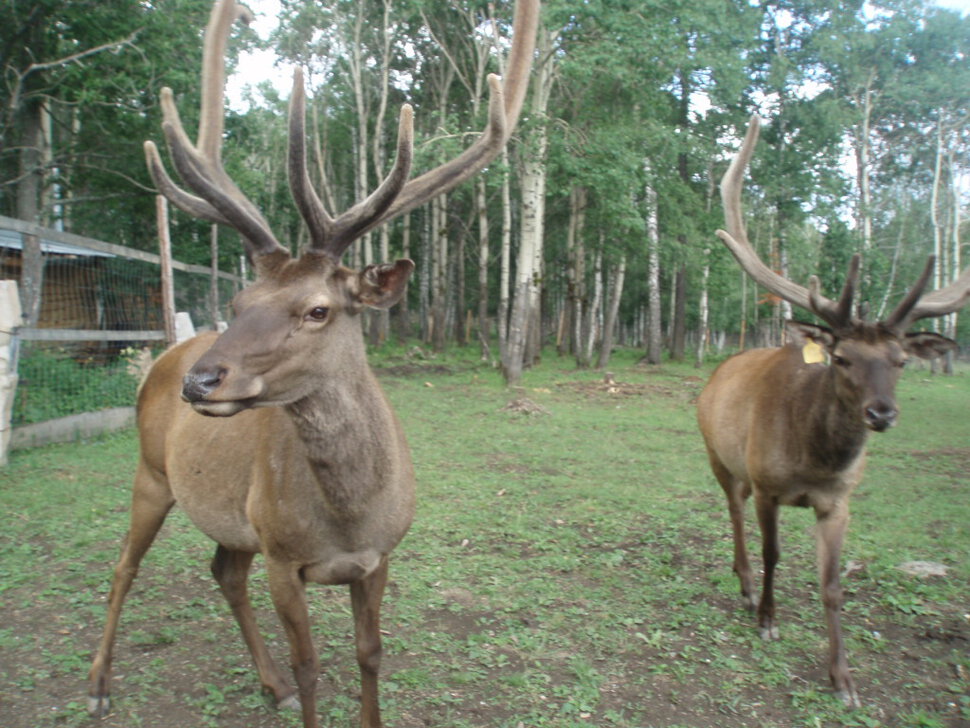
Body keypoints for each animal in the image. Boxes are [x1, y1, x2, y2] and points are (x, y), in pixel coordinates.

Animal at [696, 116, 968, 708]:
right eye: (842, 358)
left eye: (901, 361)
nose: (882, 414)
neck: (813, 461)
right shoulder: (768, 484)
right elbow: (774, 553)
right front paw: (768, 619)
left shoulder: (840, 501)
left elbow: (834, 584)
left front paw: (843, 678)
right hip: (719, 456)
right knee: (733, 511)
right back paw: (743, 583)